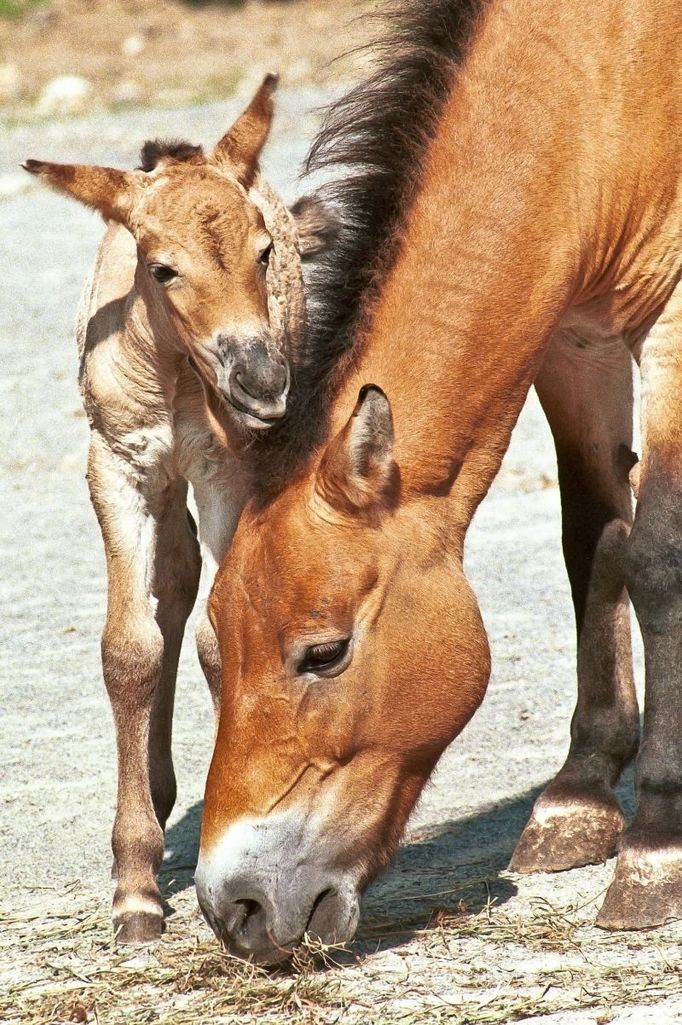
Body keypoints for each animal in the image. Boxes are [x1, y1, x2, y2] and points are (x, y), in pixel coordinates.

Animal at [27, 77, 330, 943]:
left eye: (264, 251)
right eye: (161, 269)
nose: (261, 380)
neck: (168, 371)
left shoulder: (227, 467)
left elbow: (220, 637)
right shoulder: (118, 468)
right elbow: (130, 648)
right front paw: (134, 890)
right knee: (172, 577)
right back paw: (155, 799)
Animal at [193, 0, 676, 959]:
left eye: (325, 651)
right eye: (212, 651)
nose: (236, 908)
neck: (602, 77)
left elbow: (658, 559)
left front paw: (655, 847)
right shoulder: (573, 338)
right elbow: (594, 543)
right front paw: (578, 796)